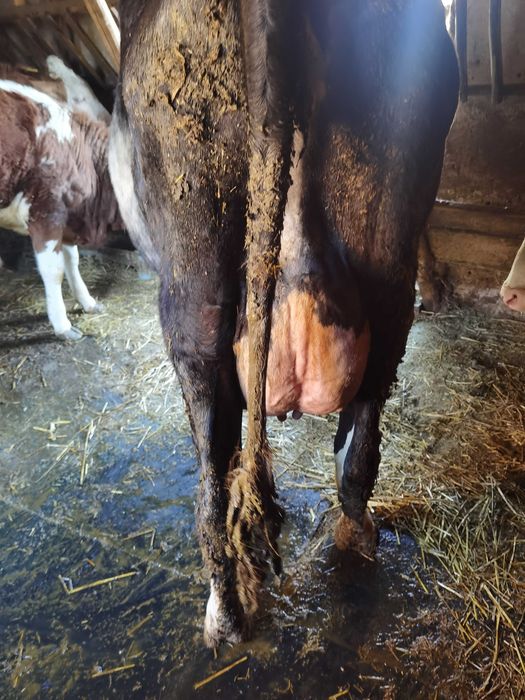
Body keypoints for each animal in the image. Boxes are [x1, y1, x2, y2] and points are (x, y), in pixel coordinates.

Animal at [0, 58, 119, 339]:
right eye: (80, 97)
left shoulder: (67, 210)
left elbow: (72, 260)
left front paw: (88, 301)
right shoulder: (46, 210)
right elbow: (54, 271)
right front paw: (62, 324)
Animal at [110, 0, 459, 646]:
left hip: (191, 274)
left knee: (211, 474)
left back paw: (225, 617)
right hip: (387, 242)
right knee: (361, 440)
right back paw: (354, 541)